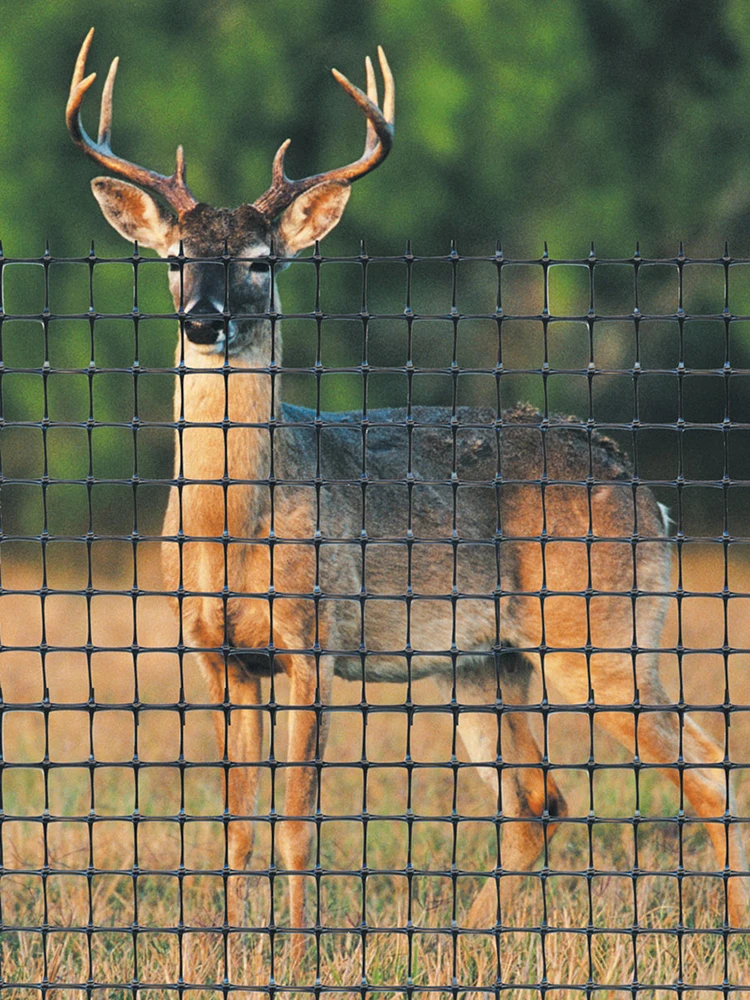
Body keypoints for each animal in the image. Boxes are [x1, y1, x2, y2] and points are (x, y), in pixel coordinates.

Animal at [67, 28, 749, 963]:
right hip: (484, 661)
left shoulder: (314, 639)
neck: (232, 525)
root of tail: (645, 492)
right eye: (174, 259)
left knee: (709, 773)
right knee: (539, 801)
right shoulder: (217, 652)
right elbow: (237, 824)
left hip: (604, 635)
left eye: (260, 264)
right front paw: (236, 952)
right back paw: (464, 944)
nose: (204, 320)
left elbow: (296, 821)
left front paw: (301, 955)